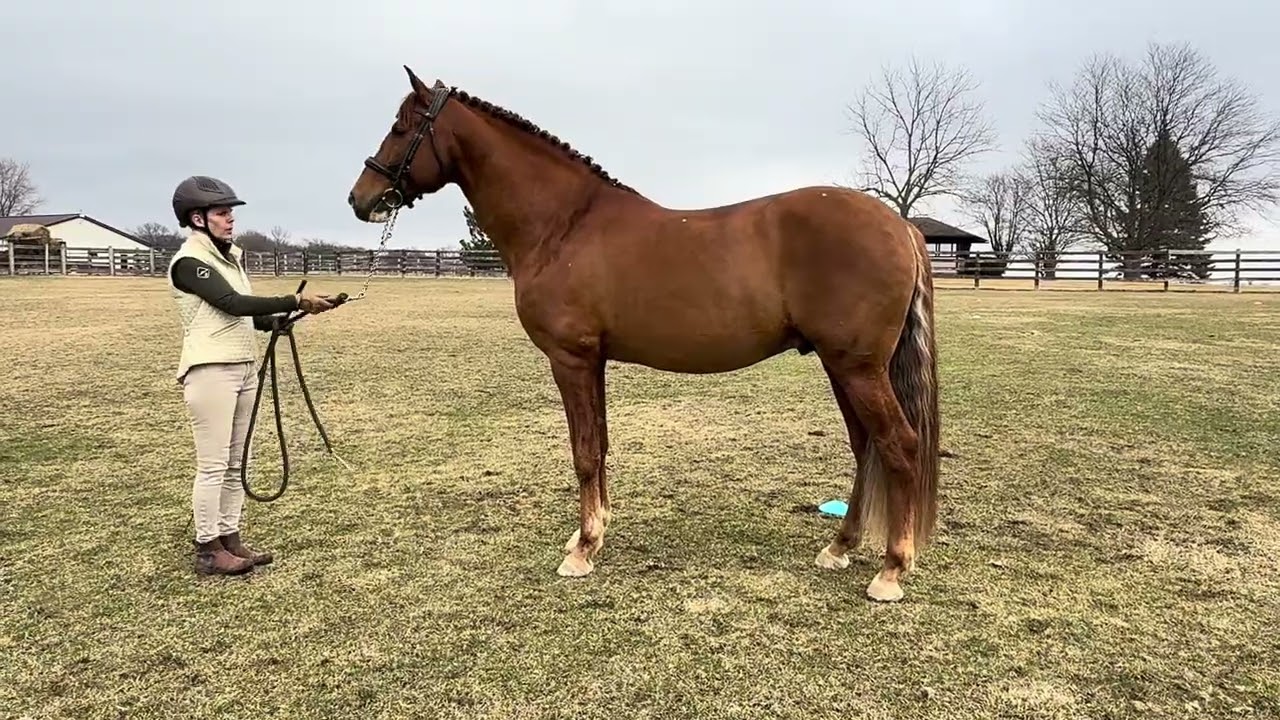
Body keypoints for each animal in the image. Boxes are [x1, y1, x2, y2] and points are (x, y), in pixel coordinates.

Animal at [347, 66, 941, 603]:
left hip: (856, 367)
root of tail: (901, 226)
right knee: (866, 447)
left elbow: (584, 452)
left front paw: (583, 551)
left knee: (900, 445)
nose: (360, 198)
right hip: (842, 365)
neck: (563, 225)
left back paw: (890, 570)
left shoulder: (571, 359)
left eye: (401, 126)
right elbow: (601, 445)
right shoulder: (594, 361)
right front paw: (590, 534)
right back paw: (840, 547)